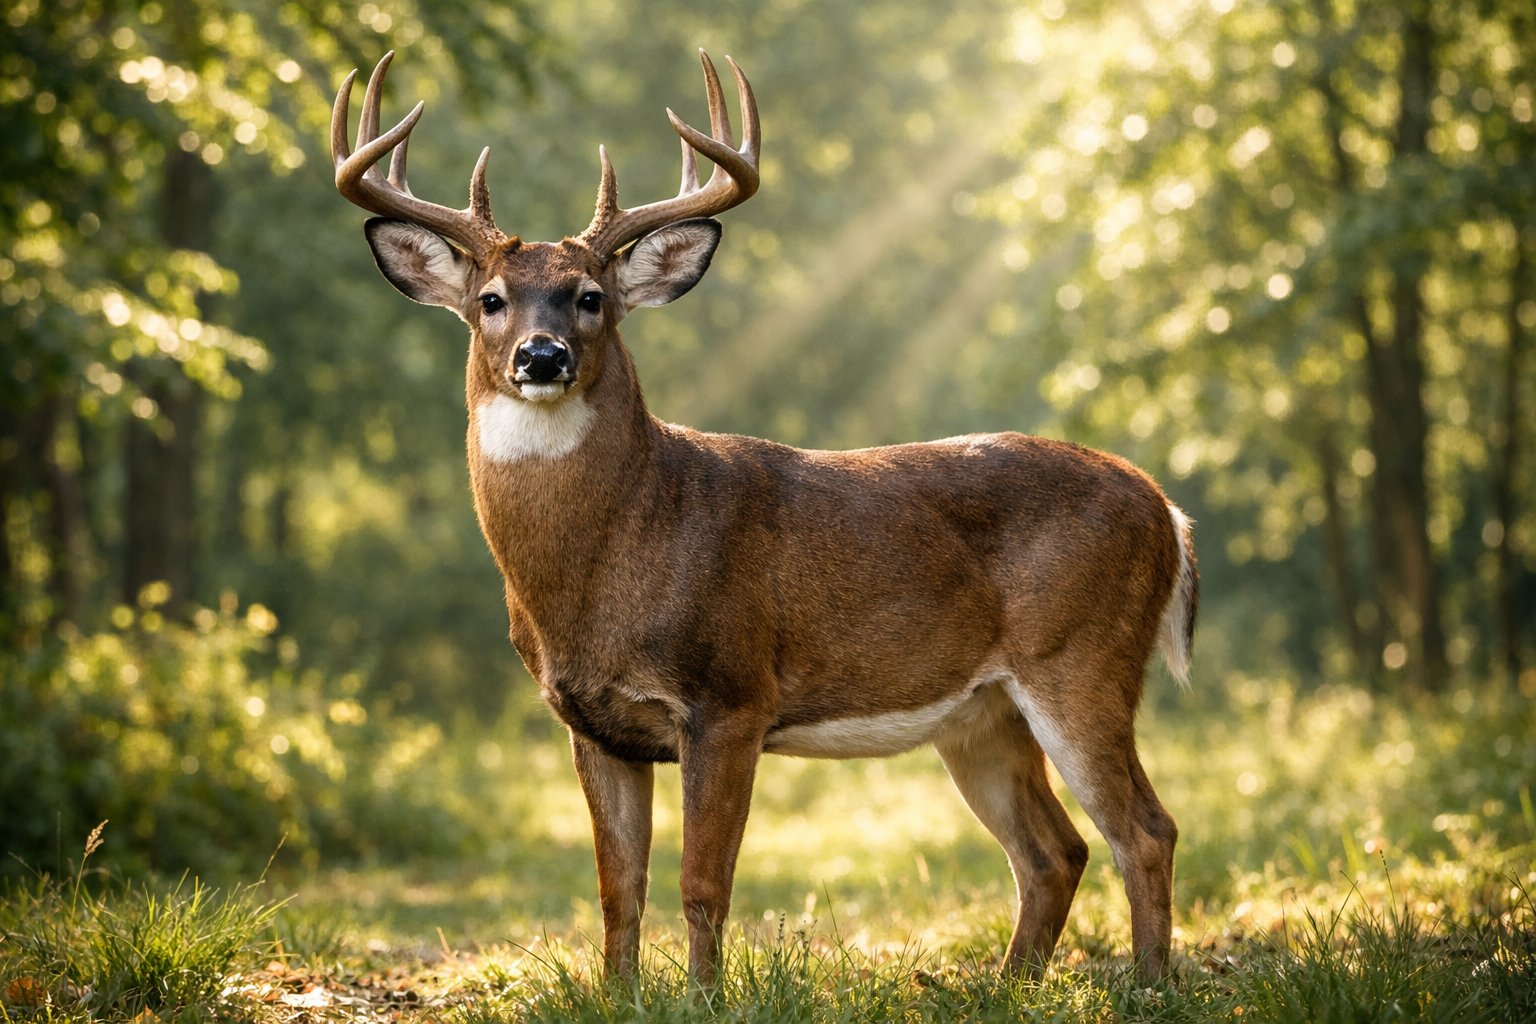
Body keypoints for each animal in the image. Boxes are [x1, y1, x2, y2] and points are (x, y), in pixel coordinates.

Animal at [330, 49, 1198, 986]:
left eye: (590, 296)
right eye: (490, 299)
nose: (542, 355)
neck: (614, 558)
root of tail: (1167, 509)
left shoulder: (731, 694)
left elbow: (702, 882)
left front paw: (702, 997)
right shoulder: (592, 722)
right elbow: (617, 889)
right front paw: (622, 995)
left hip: (1083, 658)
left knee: (1145, 830)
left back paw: (1148, 985)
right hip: (984, 714)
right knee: (1055, 851)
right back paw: (1009, 985)